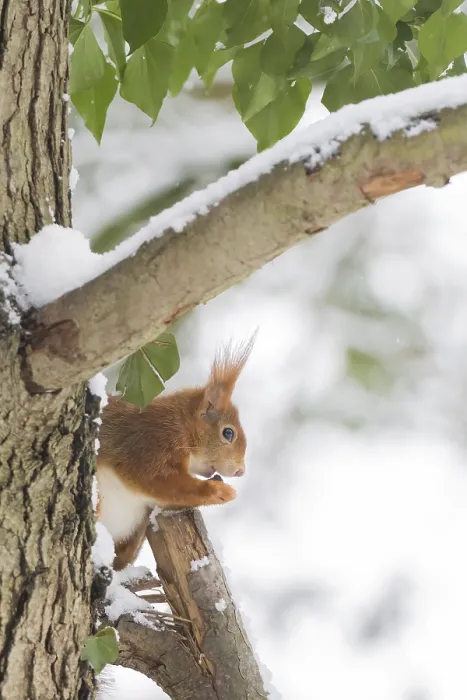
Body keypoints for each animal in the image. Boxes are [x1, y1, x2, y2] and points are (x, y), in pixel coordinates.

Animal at [96, 339, 254, 571]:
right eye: (228, 433)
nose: (241, 471)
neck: (181, 427)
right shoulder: (148, 446)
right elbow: (163, 482)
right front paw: (220, 492)